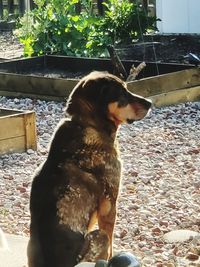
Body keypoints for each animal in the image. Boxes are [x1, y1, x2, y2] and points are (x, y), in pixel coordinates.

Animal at [27, 71, 152, 267]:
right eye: (122, 93)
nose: (150, 103)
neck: (88, 124)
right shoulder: (110, 203)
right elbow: (111, 244)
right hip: (98, 238)